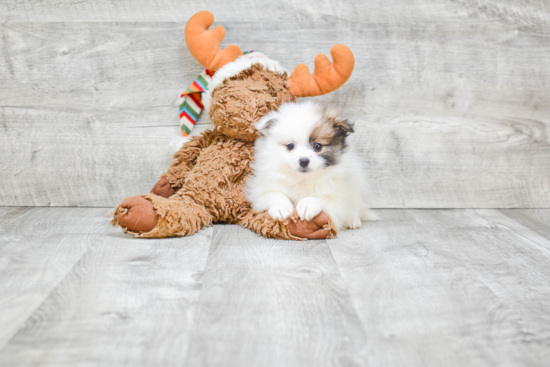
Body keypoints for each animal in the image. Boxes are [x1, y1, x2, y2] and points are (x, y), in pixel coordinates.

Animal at [247, 102, 380, 231]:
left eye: (318, 146)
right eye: (290, 146)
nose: (303, 161)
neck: (302, 178)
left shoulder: (336, 197)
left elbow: (319, 198)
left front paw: (307, 205)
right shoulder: (260, 190)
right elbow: (273, 194)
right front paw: (281, 207)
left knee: (355, 205)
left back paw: (352, 219)